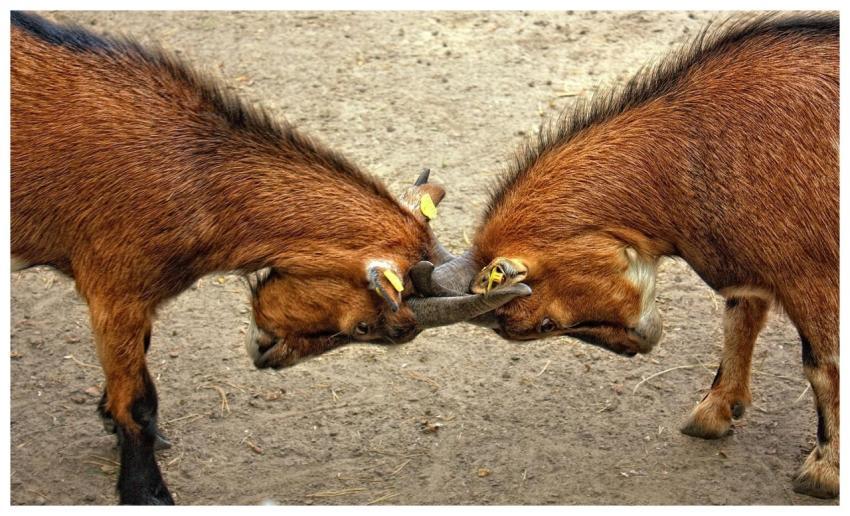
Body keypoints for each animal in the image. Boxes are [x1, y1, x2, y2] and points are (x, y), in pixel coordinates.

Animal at [11, 12, 527, 504]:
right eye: (369, 328)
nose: (266, 357)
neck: (196, 175)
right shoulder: (114, 290)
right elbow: (136, 401)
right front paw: (146, 493)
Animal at [415, 14, 838, 498]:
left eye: (545, 324)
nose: (637, 346)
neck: (691, 150)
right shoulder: (748, 268)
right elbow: (739, 323)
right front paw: (712, 414)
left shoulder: (811, 274)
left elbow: (822, 365)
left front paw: (823, 473)